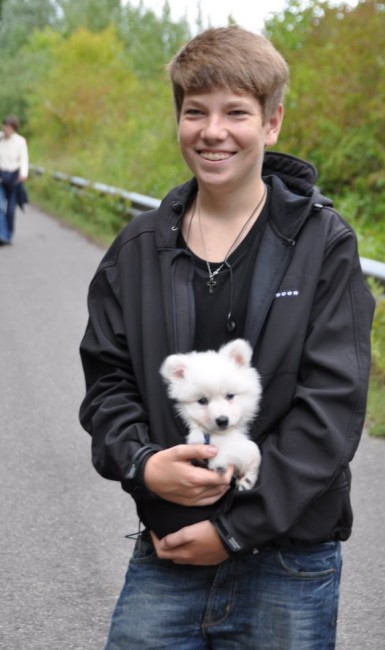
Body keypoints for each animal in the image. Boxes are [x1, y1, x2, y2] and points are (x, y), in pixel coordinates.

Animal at [159, 340, 260, 486]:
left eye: (230, 396)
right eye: (202, 400)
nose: (222, 420)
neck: (219, 435)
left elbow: (253, 451)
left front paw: (247, 478)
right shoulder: (197, 440)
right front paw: (220, 464)